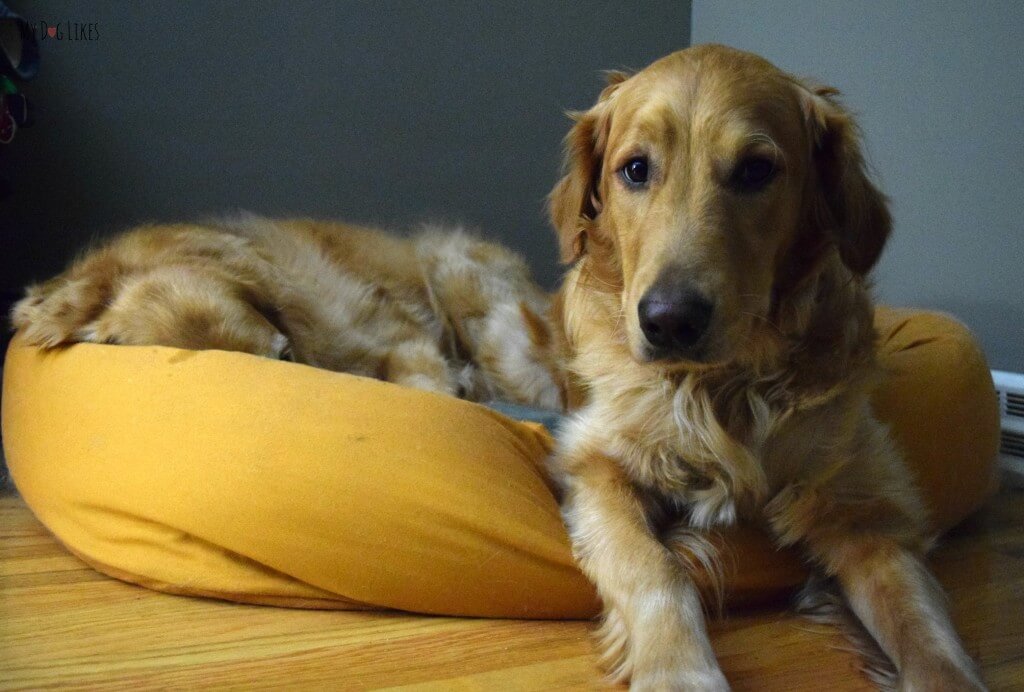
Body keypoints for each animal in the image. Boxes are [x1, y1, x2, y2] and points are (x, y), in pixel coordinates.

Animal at [548, 46, 987, 687]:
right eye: (635, 169)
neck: (725, 386)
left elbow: (924, 630)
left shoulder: (864, 511)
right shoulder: (597, 463)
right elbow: (654, 568)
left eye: (756, 171)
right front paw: (682, 673)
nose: (669, 321)